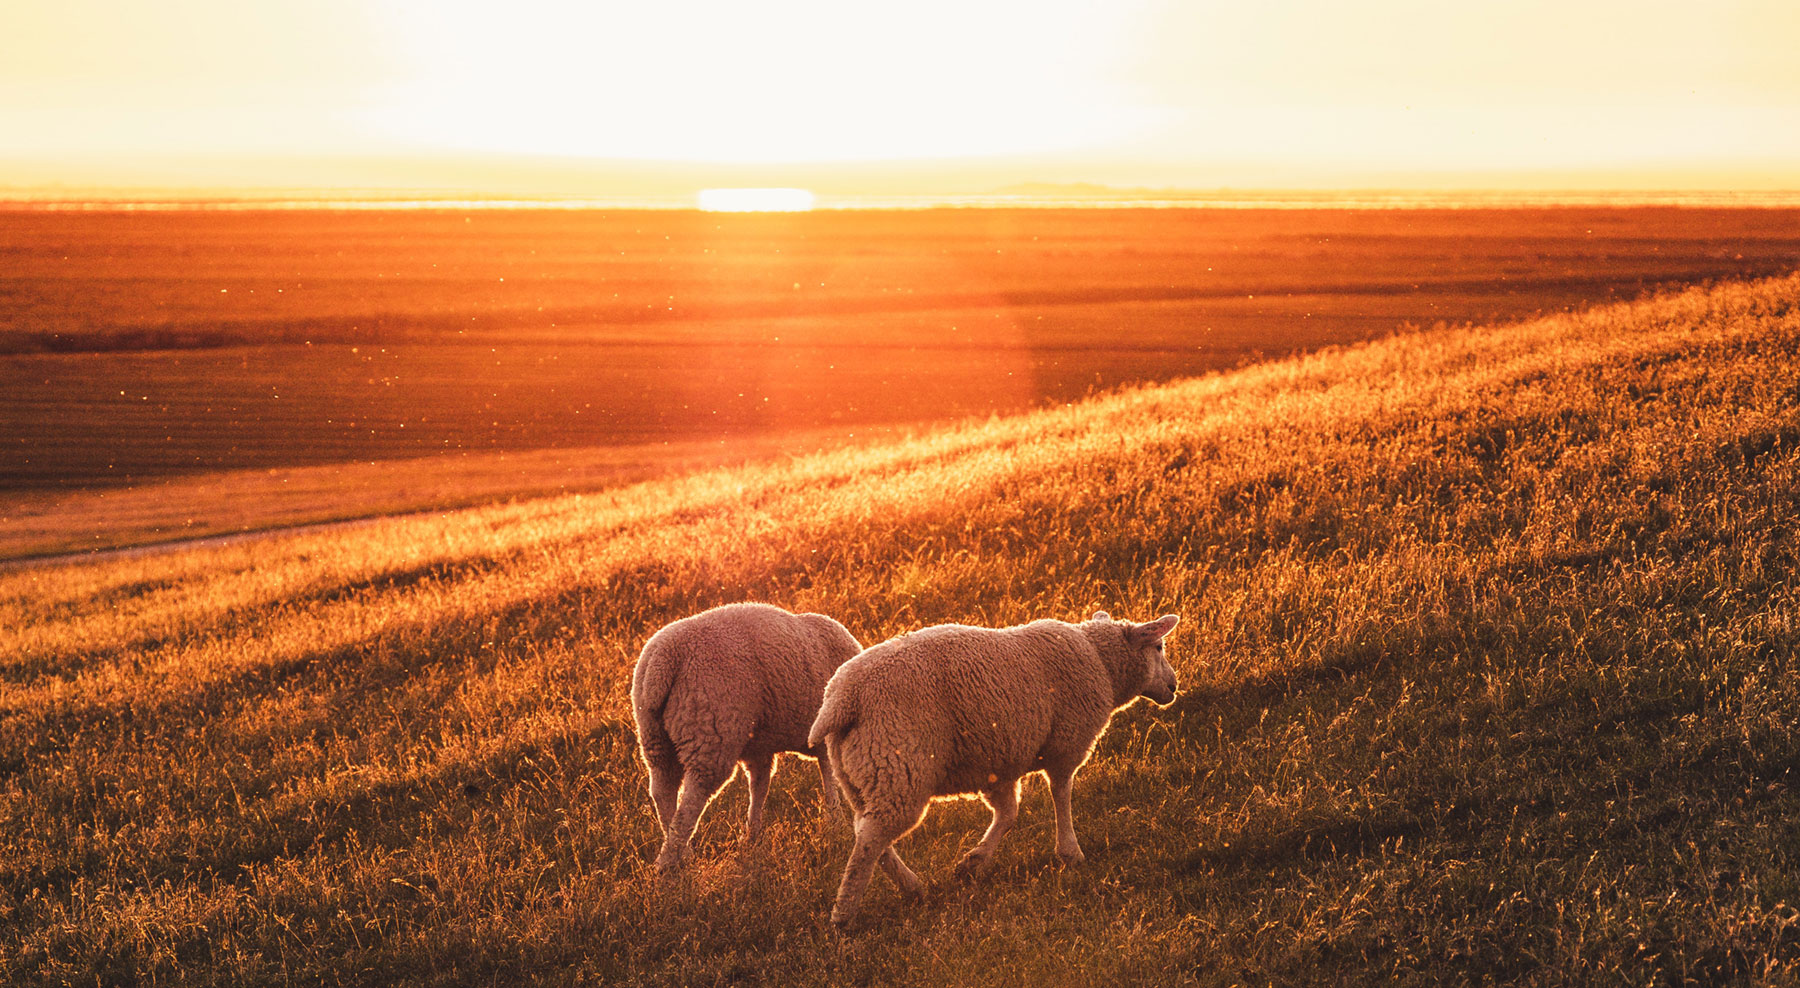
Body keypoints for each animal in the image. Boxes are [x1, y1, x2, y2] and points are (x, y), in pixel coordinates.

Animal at [631, 602, 863, 876]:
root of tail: (664, 660)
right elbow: (827, 775)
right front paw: (836, 822)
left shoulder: (759, 748)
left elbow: (760, 784)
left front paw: (752, 835)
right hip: (711, 734)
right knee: (691, 801)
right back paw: (671, 861)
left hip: (654, 736)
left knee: (662, 790)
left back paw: (679, 850)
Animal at [808, 609, 1180, 928]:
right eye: (1159, 646)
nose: (1174, 687)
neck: (1101, 661)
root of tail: (841, 700)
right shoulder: (1066, 744)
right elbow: (1061, 794)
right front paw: (1070, 853)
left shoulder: (999, 764)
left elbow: (1008, 814)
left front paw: (973, 864)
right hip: (898, 767)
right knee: (871, 839)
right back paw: (844, 914)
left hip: (862, 775)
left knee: (866, 831)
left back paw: (911, 887)